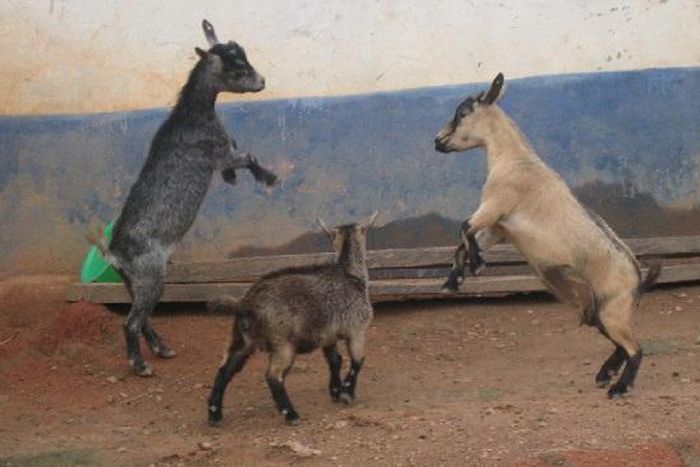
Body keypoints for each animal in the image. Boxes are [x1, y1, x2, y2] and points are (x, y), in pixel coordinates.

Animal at [87, 20, 277, 377]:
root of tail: (115, 254)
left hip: (134, 282)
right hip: (149, 276)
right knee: (131, 322)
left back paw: (162, 349)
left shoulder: (222, 153)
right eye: (238, 69)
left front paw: (234, 180)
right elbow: (246, 157)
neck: (192, 114)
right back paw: (141, 365)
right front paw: (269, 179)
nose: (262, 82)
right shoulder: (217, 152)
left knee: (143, 316)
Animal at [206, 213, 378, 426]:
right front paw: (347, 393)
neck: (349, 274)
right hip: (283, 344)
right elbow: (357, 361)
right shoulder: (356, 330)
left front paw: (336, 392)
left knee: (225, 370)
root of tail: (246, 303)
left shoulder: (328, 335)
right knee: (273, 376)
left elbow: (335, 360)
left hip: (242, 339)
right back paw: (291, 413)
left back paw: (214, 414)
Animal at [434, 73, 660, 399]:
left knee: (635, 348)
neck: (515, 159)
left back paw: (619, 388)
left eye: (463, 112)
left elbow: (464, 227)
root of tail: (637, 275)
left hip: (613, 310)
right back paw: (605, 375)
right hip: (602, 310)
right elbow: (465, 239)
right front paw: (453, 281)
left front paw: (475, 266)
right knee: (620, 345)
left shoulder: (495, 205)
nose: (437, 141)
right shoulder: (501, 228)